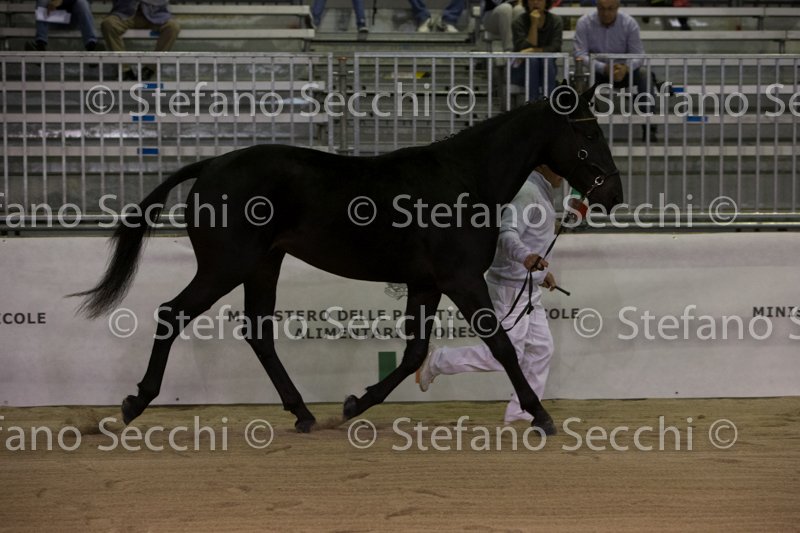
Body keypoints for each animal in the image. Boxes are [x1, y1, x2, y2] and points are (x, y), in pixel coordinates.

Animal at [73, 84, 623, 435]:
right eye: (590, 135)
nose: (613, 193)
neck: (465, 178)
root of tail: (211, 164)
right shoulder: (462, 280)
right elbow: (503, 346)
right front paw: (542, 416)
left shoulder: (427, 284)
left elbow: (414, 354)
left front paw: (355, 403)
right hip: (224, 267)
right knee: (173, 314)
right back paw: (132, 405)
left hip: (262, 265)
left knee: (258, 332)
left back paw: (302, 413)